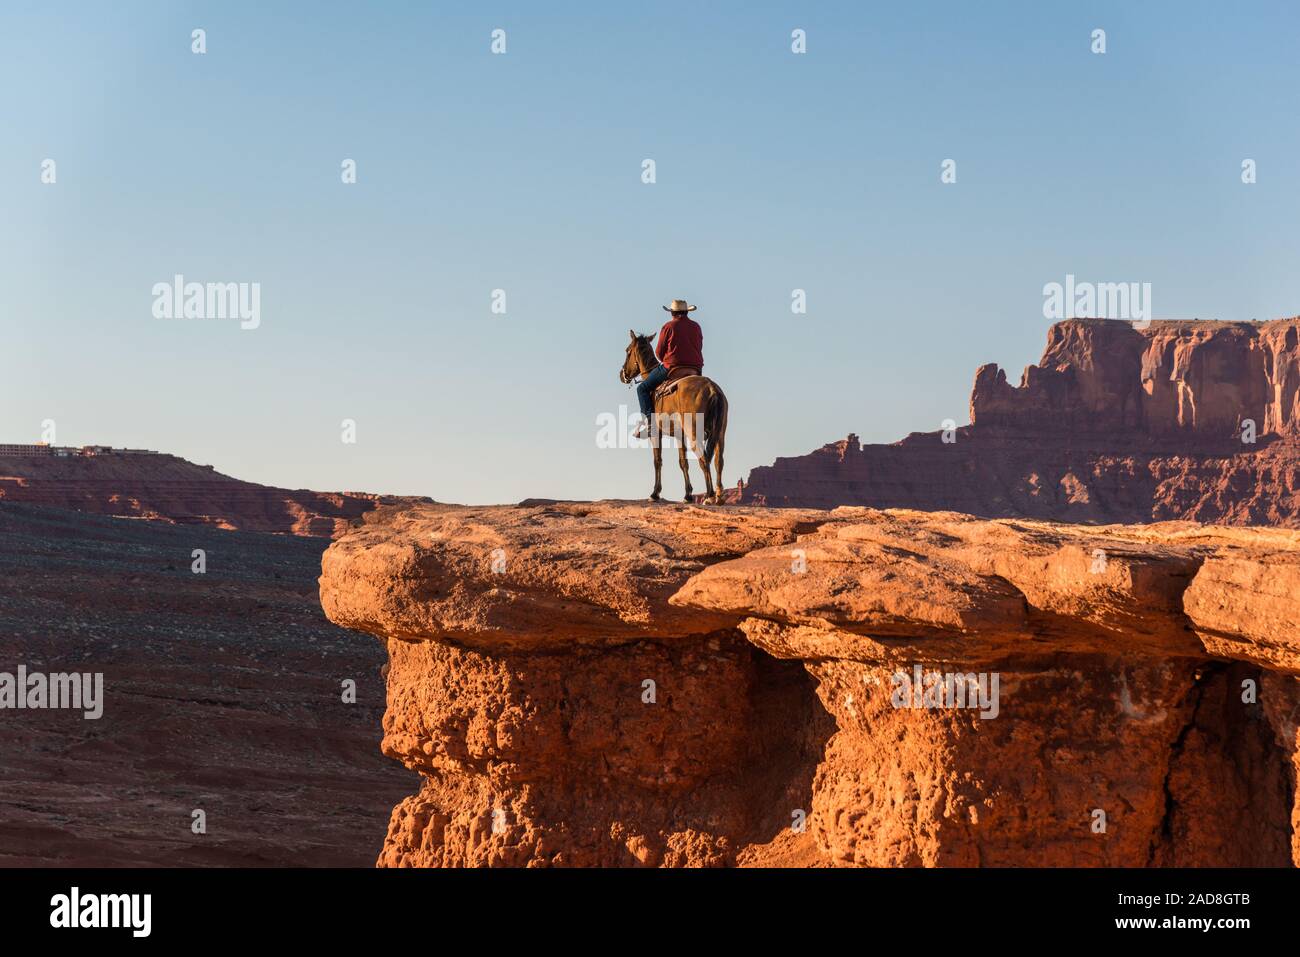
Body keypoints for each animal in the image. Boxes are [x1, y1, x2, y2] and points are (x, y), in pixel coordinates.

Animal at [621, 332, 733, 504]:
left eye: (627, 351)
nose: (622, 374)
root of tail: (712, 388)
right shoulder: (680, 435)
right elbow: (683, 462)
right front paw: (688, 495)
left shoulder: (656, 434)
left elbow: (657, 461)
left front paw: (655, 493)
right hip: (720, 434)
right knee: (718, 461)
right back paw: (719, 496)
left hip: (694, 433)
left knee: (704, 459)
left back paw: (709, 496)